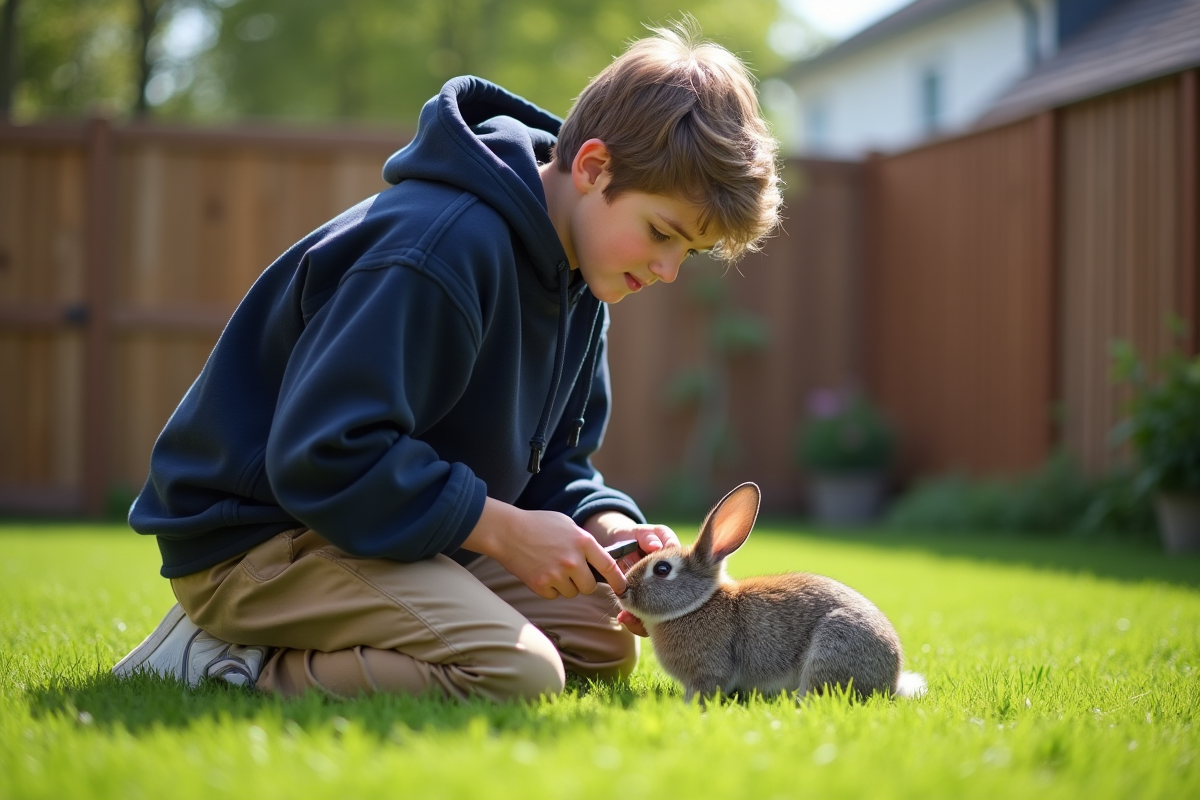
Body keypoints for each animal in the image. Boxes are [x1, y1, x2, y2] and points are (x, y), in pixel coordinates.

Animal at [616, 482, 926, 702]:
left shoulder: (710, 670)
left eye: (662, 569)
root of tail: (892, 681)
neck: (698, 604)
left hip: (833, 645)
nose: (623, 589)